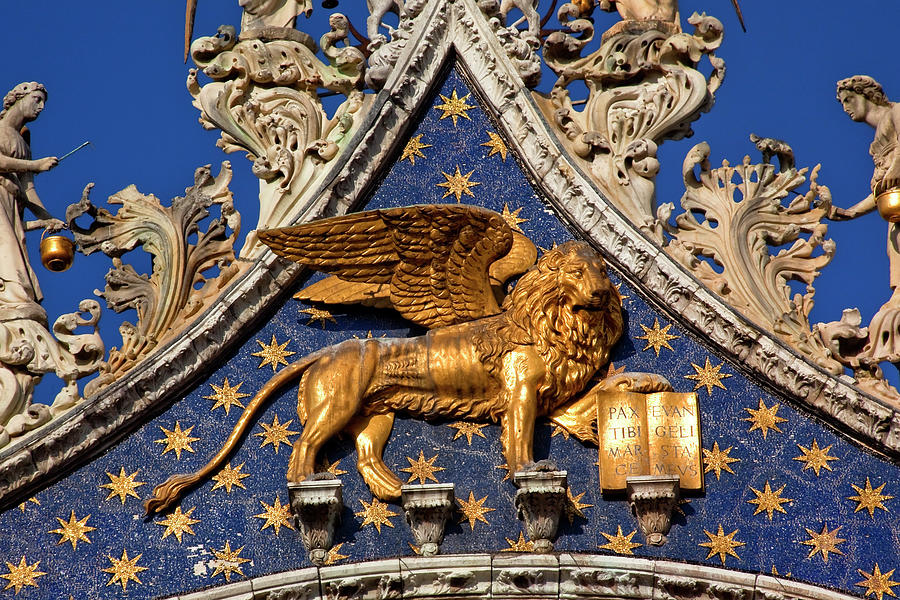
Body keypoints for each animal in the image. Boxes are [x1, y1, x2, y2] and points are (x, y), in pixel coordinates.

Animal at [146, 204, 668, 512]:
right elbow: (520, 441)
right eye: (576, 272)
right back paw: (312, 487)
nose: (601, 293)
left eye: (602, 271)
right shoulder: (520, 394)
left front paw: (648, 384)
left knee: (364, 454)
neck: (550, 326)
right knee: (303, 447)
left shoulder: (554, 401)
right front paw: (530, 472)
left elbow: (597, 397)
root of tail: (330, 349)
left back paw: (405, 492)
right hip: (335, 403)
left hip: (375, 415)